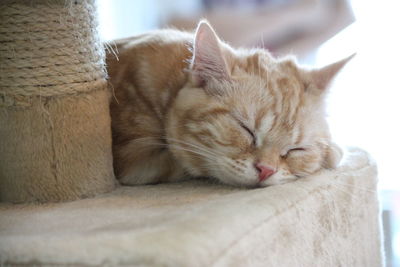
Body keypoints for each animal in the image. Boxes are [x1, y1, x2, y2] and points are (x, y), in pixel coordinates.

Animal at [105, 19, 350, 188]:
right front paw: (332, 151)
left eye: (295, 149)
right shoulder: (134, 159)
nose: (266, 170)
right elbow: (191, 164)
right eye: (246, 130)